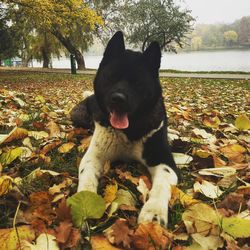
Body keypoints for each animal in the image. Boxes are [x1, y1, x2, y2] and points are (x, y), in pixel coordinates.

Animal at [71, 31, 179, 227]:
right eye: (112, 77)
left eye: (138, 83)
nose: (118, 99)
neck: (130, 130)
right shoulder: (95, 156)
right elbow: (87, 175)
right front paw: (85, 205)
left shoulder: (164, 160)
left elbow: (162, 185)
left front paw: (154, 211)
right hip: (78, 116)